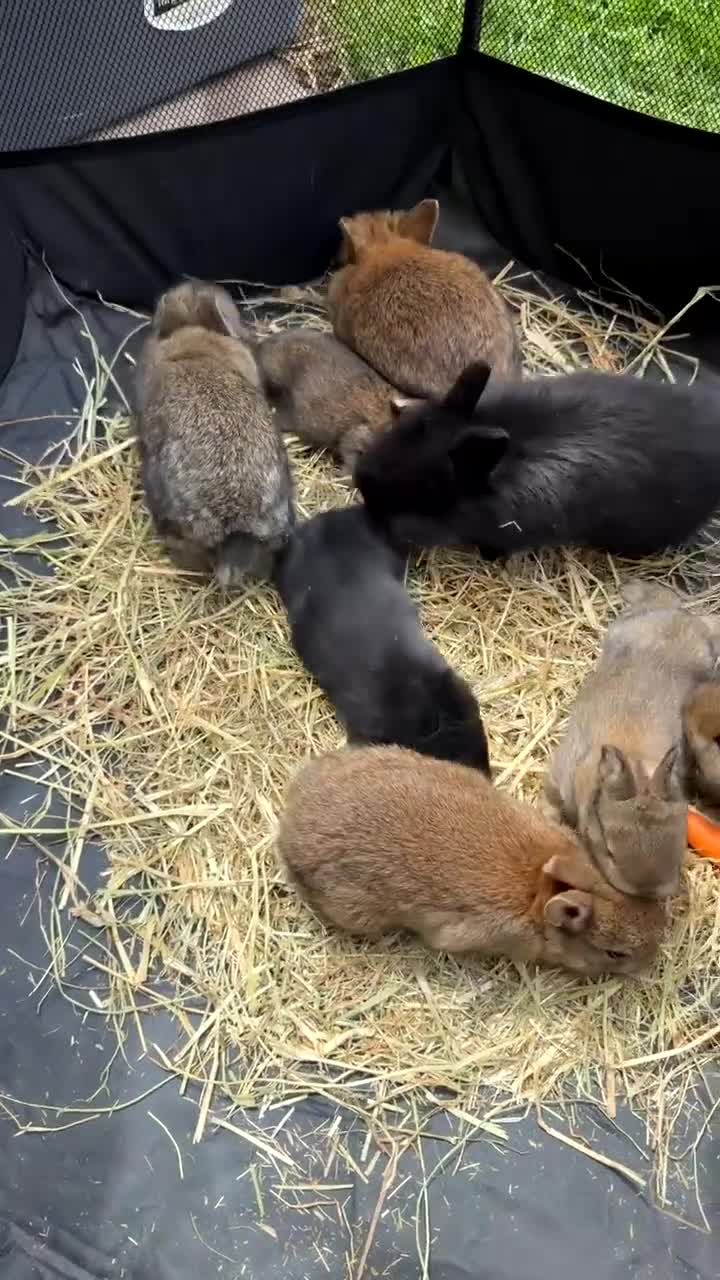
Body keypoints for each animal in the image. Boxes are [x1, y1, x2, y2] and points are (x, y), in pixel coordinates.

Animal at [544, 581, 720, 899]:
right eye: (610, 850)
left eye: (679, 847)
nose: (646, 891)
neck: (637, 760)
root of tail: (681, 616)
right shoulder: (559, 776)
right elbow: (550, 801)